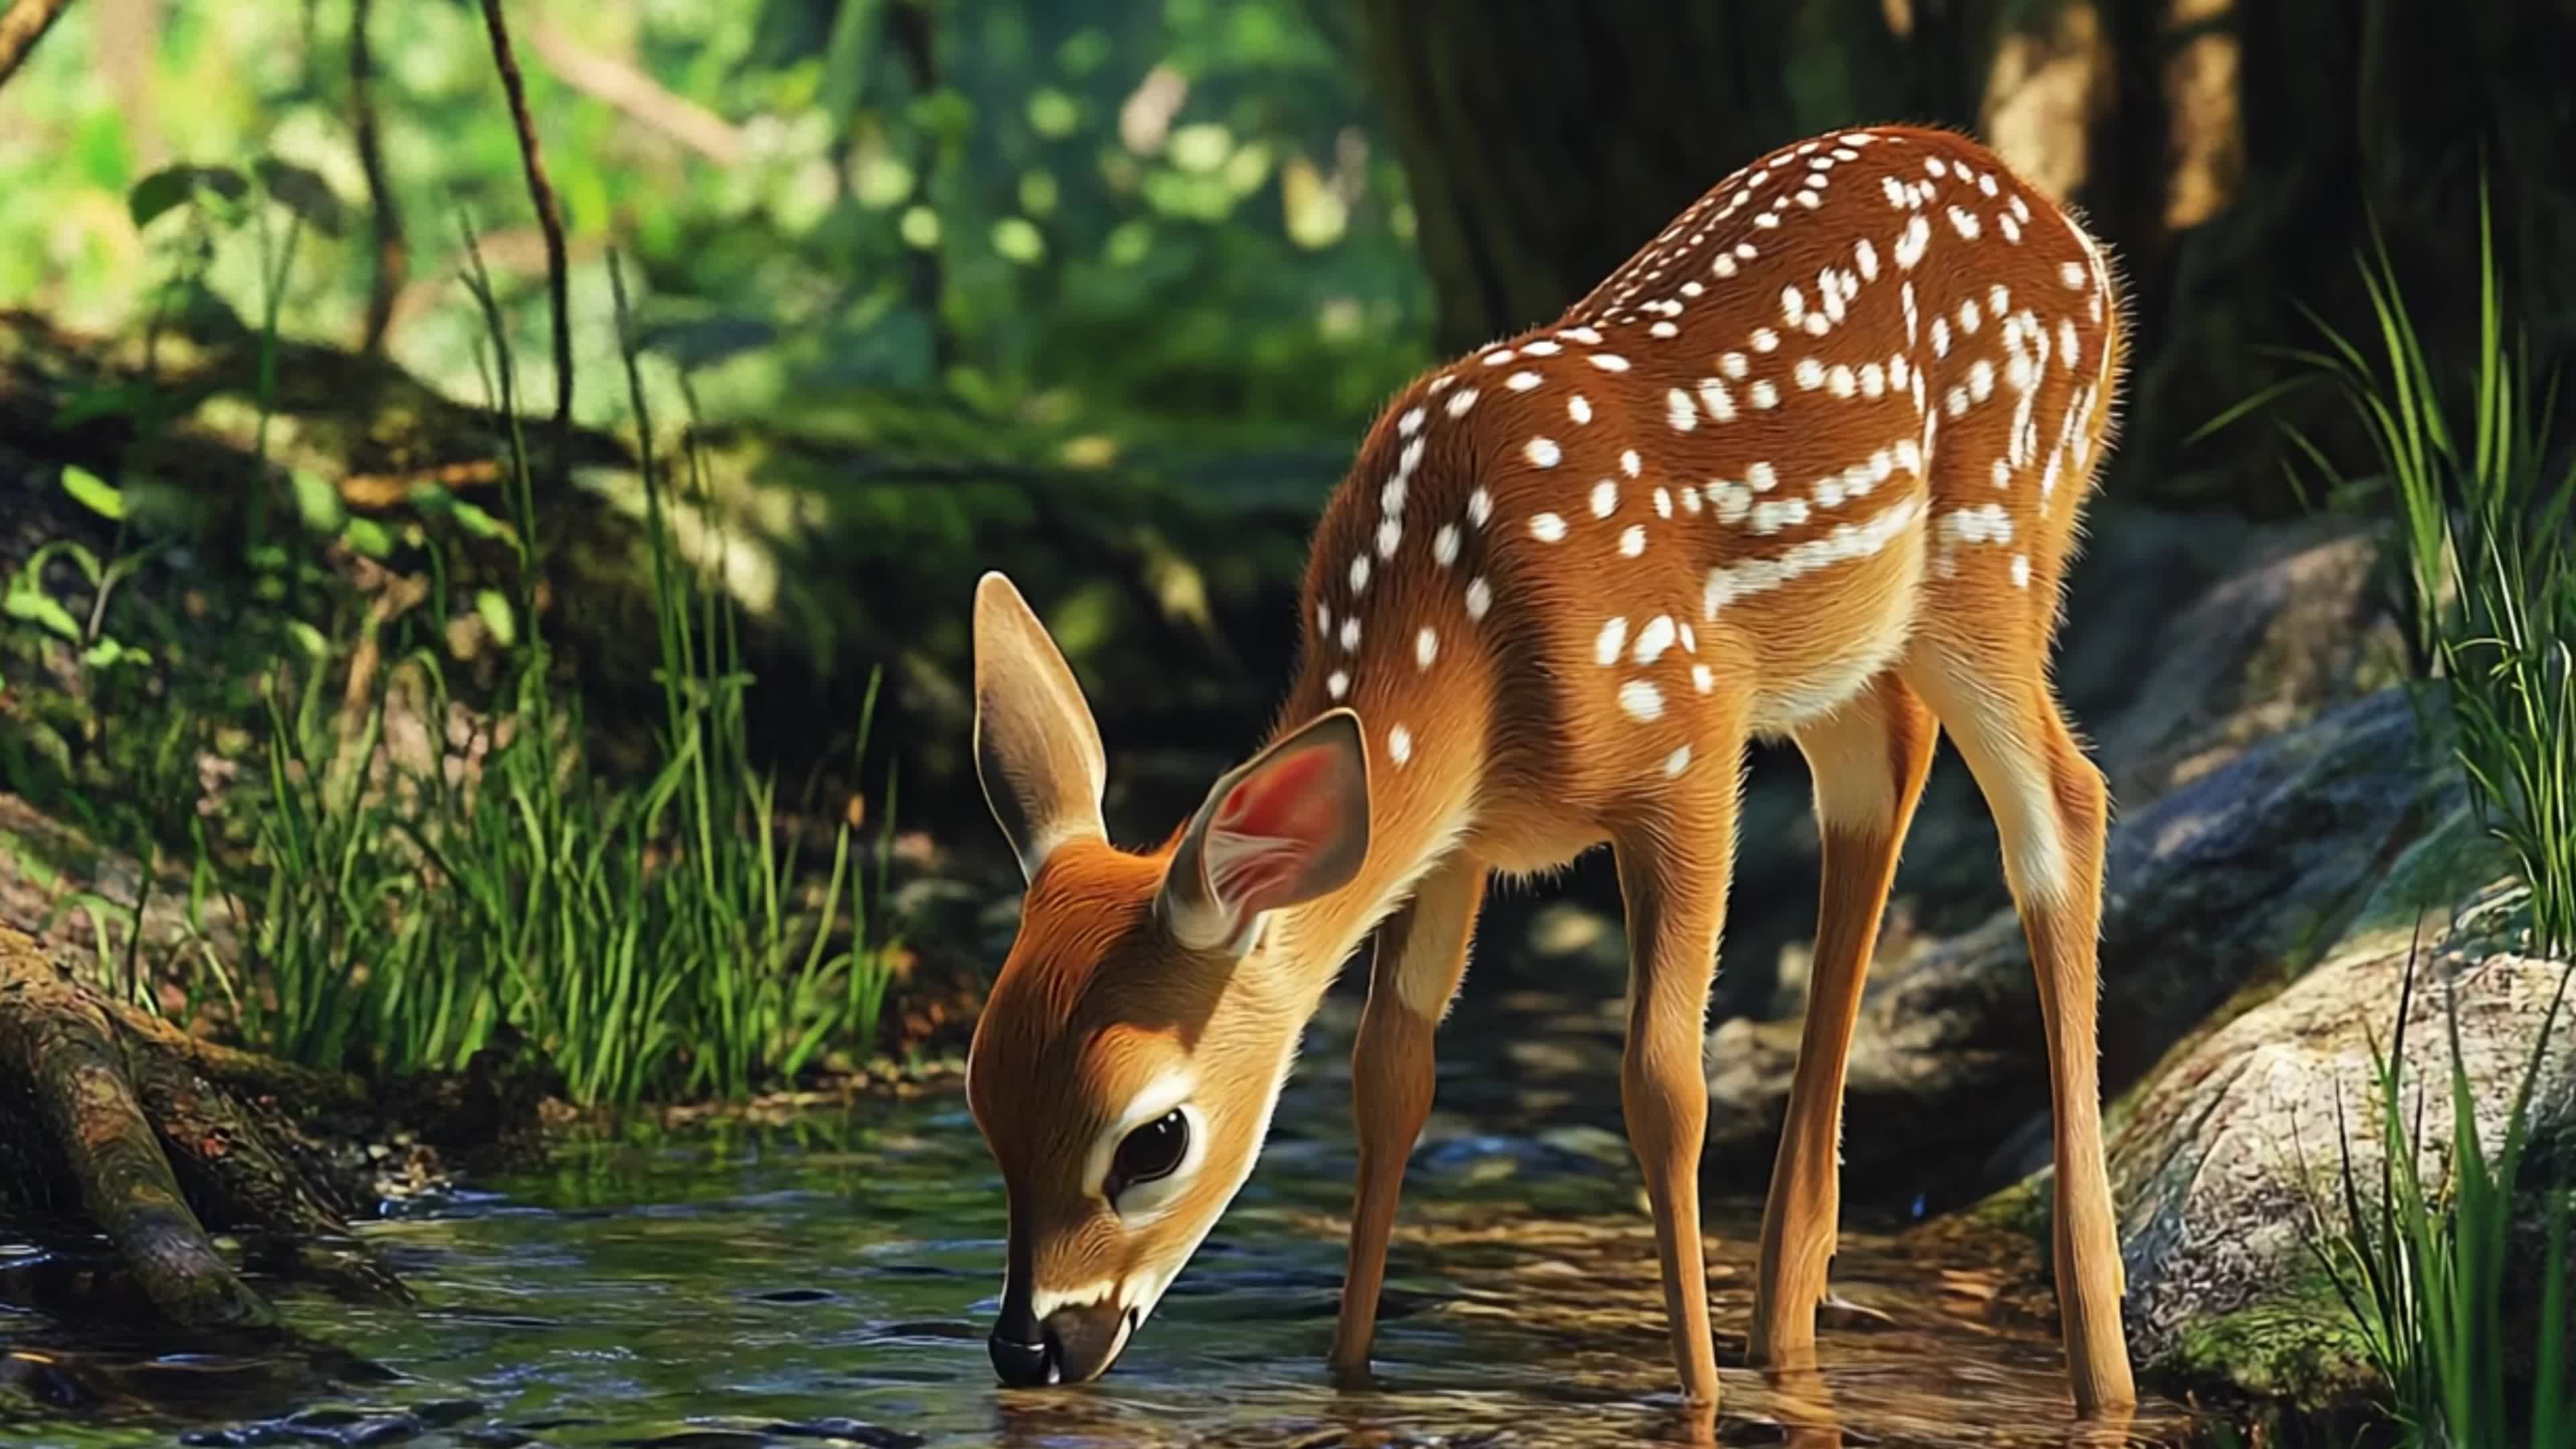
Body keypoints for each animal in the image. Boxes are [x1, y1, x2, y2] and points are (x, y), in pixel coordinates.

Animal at [963, 122, 2137, 1416]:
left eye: (1153, 1140)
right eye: (979, 1101)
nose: (1027, 1349)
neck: (1457, 632)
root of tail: (2077, 242)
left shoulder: (1686, 741)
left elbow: (1662, 1085)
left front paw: (1699, 1401)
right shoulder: (1456, 843)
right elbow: (1390, 1076)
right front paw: (1349, 1374)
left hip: (1994, 545)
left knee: (2063, 805)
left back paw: (2100, 1362)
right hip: (1846, 644)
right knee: (1881, 772)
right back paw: (1790, 1328)